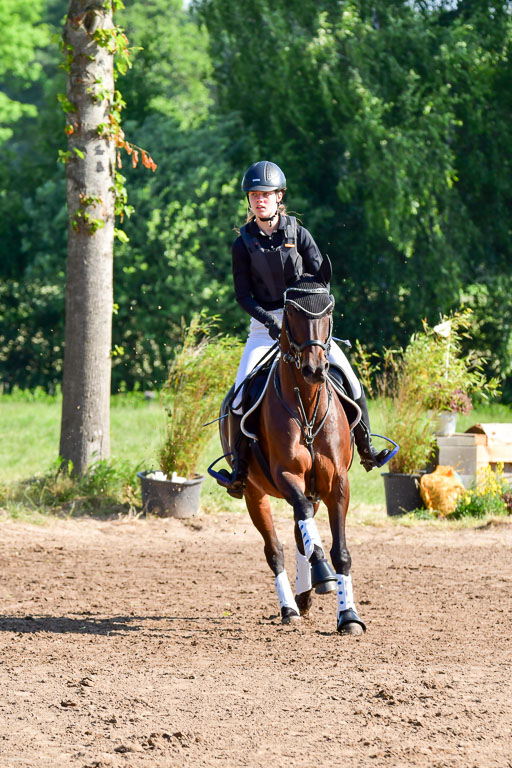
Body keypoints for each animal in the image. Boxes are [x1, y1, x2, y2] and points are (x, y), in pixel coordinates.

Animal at [212, 276, 366, 635]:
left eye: (328, 310)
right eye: (292, 313)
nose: (315, 369)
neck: (306, 406)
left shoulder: (336, 483)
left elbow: (340, 550)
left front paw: (348, 615)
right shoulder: (285, 475)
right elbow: (301, 525)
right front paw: (323, 572)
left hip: (313, 491)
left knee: (300, 532)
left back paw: (306, 595)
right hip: (254, 492)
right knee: (276, 549)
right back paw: (290, 606)